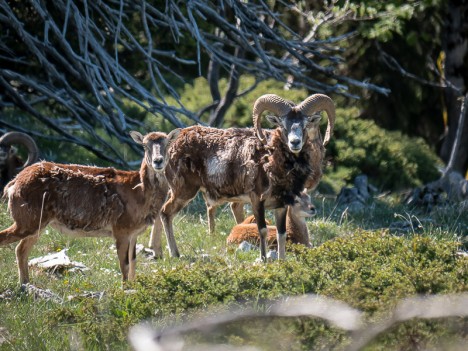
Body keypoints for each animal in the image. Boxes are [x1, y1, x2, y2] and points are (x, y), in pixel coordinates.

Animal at [0, 130, 179, 286]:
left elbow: (133, 262)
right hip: (27, 220)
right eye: (144, 145)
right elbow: (125, 265)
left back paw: (25, 284)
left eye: (167, 143)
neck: (139, 192)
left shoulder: (133, 233)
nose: (158, 161)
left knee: (21, 250)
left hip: (37, 224)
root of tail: (13, 184)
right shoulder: (121, 230)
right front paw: (124, 289)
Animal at [161, 93, 336, 262]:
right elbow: (262, 230)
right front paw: (263, 259)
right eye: (282, 125)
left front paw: (281, 261)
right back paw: (174, 254)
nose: (295, 143)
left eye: (305, 125)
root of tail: (172, 145)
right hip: (184, 191)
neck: (272, 161)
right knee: (165, 213)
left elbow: (281, 234)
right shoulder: (257, 200)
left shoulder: (281, 205)